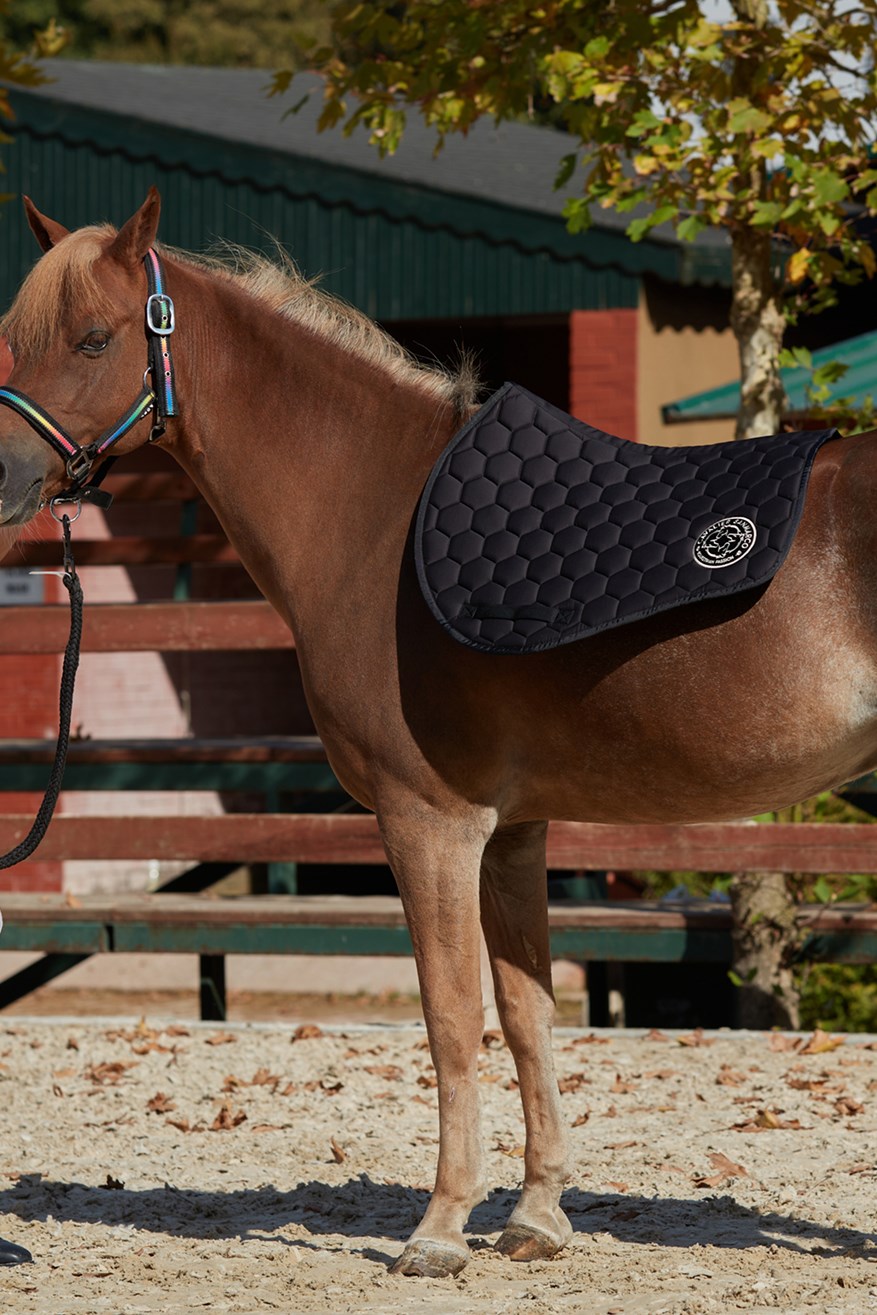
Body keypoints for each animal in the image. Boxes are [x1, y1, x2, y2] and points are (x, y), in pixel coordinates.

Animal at [0, 189, 874, 1278]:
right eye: (12, 337)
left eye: (92, 338)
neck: (376, 512)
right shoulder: (511, 833)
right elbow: (529, 1011)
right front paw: (535, 1218)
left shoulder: (429, 822)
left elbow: (451, 1016)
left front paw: (437, 1230)